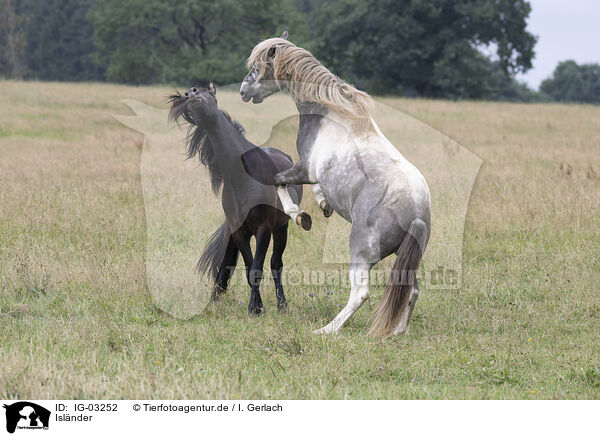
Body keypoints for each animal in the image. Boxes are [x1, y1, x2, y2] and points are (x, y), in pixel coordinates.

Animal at [168, 82, 310, 314]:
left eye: (209, 93)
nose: (191, 93)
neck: (242, 177)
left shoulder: (263, 229)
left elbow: (258, 269)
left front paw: (254, 308)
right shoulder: (238, 231)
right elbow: (249, 269)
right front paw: (257, 307)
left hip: (281, 228)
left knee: (276, 264)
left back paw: (283, 305)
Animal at [239, 31, 432, 338]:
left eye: (257, 66)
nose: (243, 91)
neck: (330, 114)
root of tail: (416, 213)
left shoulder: (304, 168)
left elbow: (278, 181)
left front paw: (301, 216)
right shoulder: (312, 173)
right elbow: (316, 187)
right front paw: (323, 205)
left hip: (361, 251)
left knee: (361, 293)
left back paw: (327, 330)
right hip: (406, 257)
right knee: (411, 291)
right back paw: (398, 331)